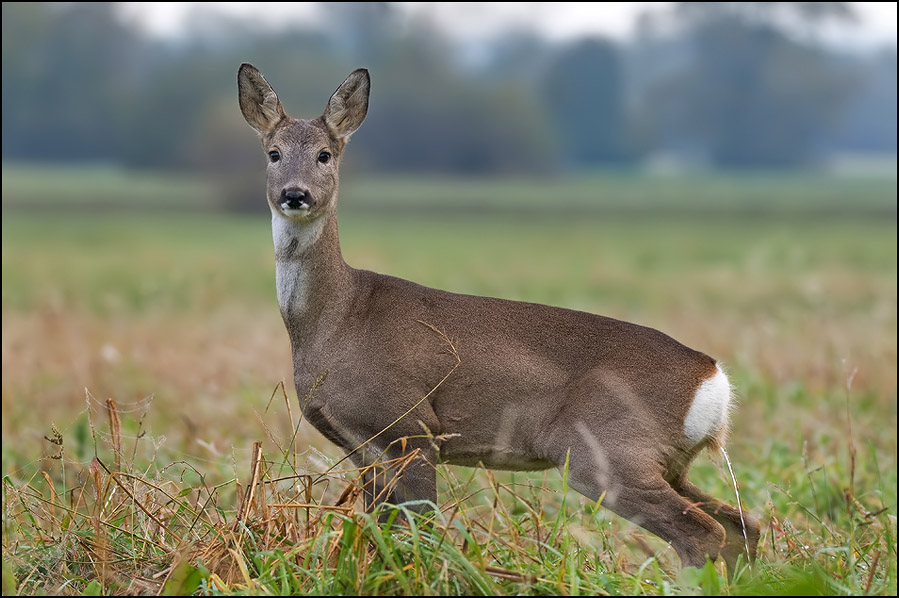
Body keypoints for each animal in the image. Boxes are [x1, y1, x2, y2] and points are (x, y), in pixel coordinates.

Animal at [239, 63, 760, 576]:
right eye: (273, 153)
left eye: (325, 154)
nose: (295, 194)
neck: (337, 317)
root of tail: (713, 379)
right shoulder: (364, 447)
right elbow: (378, 534)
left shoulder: (411, 427)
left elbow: (419, 536)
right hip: (666, 462)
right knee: (742, 526)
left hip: (607, 452)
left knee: (702, 533)